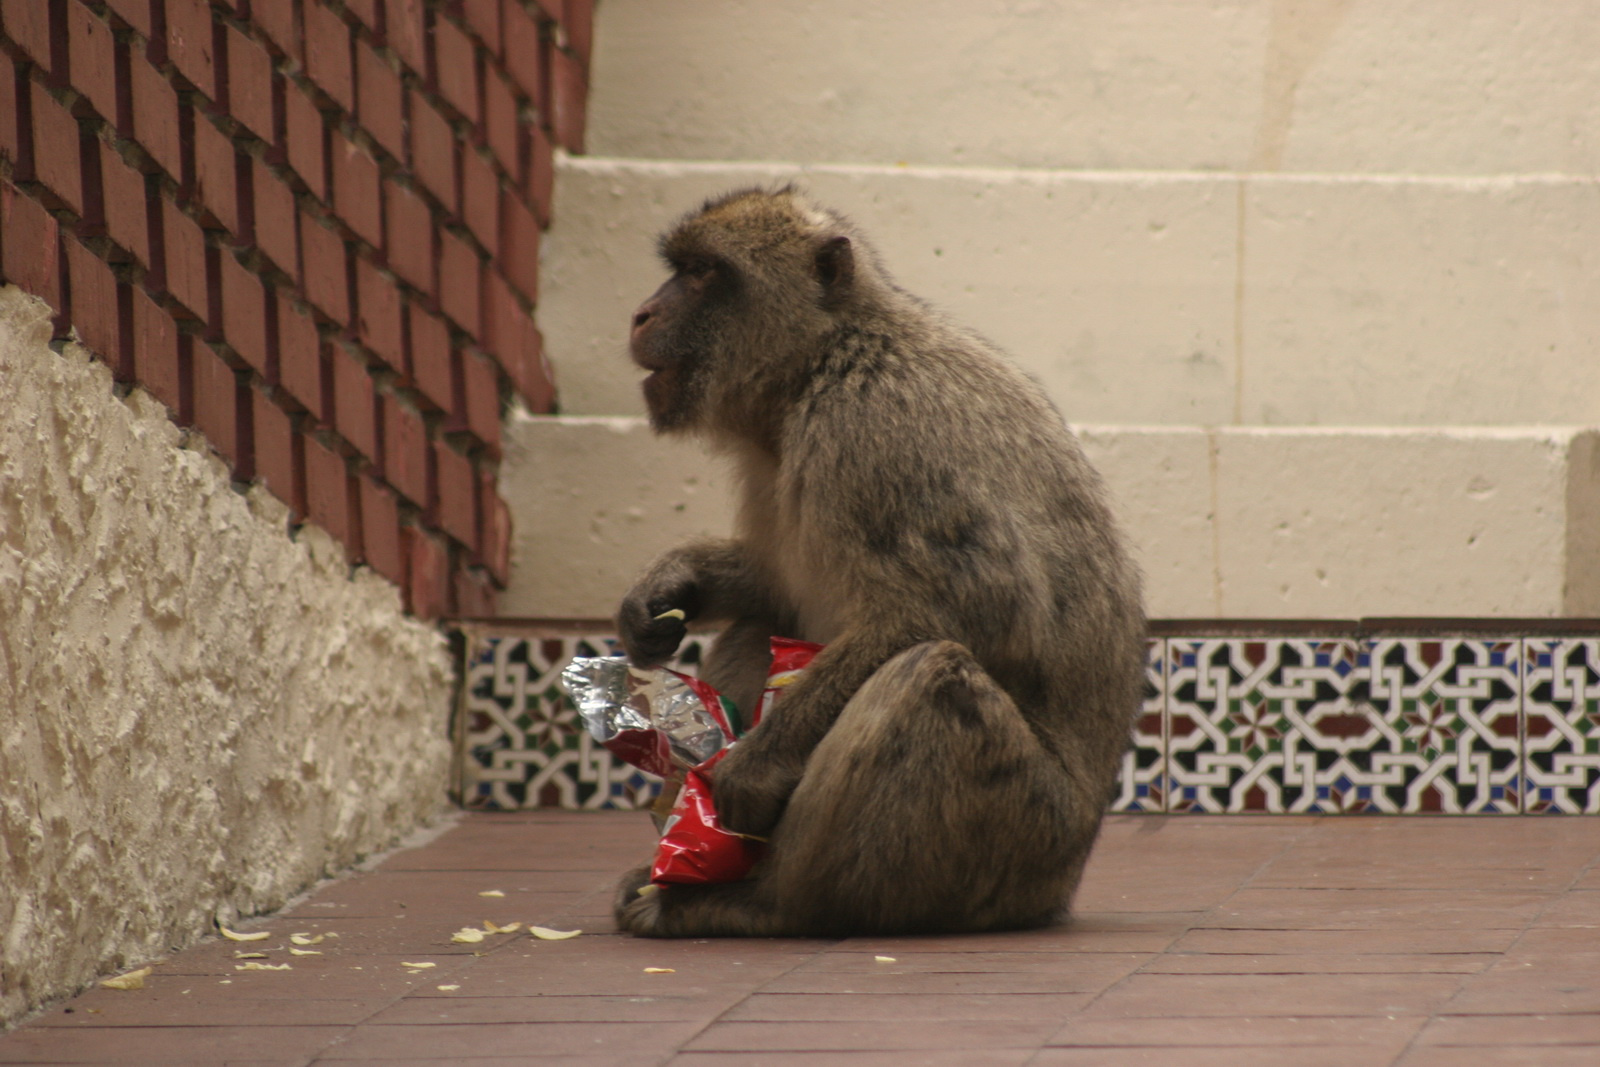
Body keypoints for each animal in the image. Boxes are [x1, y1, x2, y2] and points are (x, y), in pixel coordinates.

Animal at [604, 187, 1145, 940]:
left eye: (705, 273)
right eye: (678, 268)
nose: (642, 313)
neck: (824, 356)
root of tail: (1062, 887)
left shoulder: (876, 429)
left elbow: (972, 610)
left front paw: (755, 764)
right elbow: (782, 588)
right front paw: (672, 582)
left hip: (1020, 841)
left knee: (931, 673)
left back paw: (766, 904)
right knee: (759, 629)